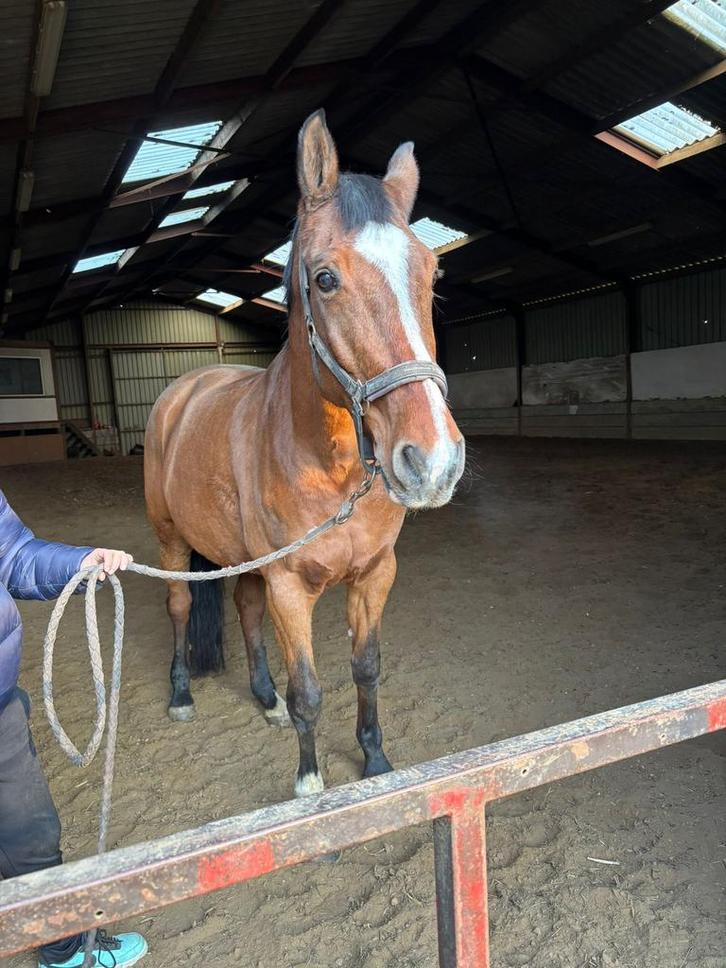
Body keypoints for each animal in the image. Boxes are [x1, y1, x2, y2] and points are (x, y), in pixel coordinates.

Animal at [144, 109, 465, 797]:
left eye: (431, 274)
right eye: (325, 278)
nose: (433, 462)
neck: (330, 470)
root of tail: (186, 389)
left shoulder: (374, 575)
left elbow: (366, 670)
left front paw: (375, 763)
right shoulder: (291, 586)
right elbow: (310, 693)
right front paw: (310, 783)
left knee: (243, 607)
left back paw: (262, 697)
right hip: (171, 538)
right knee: (180, 607)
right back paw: (181, 696)